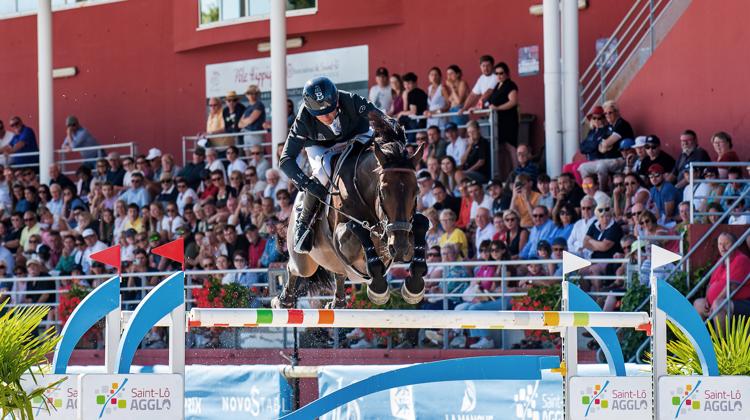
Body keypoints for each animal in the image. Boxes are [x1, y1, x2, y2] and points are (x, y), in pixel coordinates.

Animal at [274, 113, 432, 310]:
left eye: (416, 191)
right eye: (383, 191)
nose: (400, 248)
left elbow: (421, 223)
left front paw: (413, 288)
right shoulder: (343, 240)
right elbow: (357, 228)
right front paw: (378, 289)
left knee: (339, 274)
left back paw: (337, 302)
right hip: (304, 261)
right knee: (294, 268)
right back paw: (283, 301)